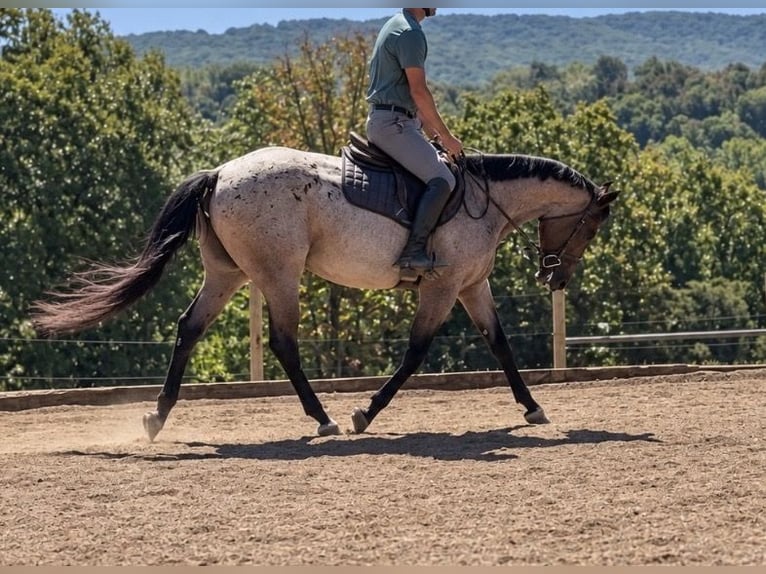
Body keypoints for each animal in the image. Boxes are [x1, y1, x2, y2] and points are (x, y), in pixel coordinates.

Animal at [32, 144, 619, 441]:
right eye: (591, 226)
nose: (555, 278)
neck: (485, 201)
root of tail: (220, 173)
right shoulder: (444, 285)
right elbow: (415, 353)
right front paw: (366, 413)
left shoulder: (472, 285)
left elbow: (500, 345)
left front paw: (533, 408)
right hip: (278, 274)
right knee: (284, 341)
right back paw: (324, 418)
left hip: (228, 275)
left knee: (189, 328)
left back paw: (158, 416)